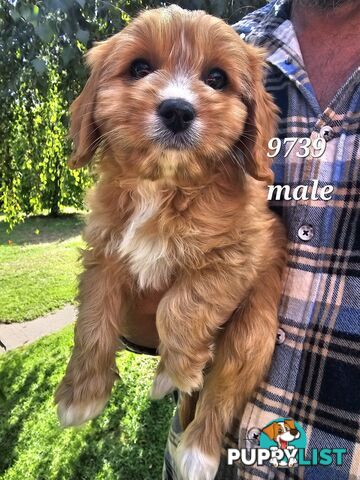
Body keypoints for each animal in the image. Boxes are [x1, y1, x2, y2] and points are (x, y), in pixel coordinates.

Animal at [55, 5, 286, 478]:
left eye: (216, 78)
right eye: (139, 68)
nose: (178, 110)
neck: (163, 184)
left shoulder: (236, 257)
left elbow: (178, 308)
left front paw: (177, 372)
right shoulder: (104, 254)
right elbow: (92, 322)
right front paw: (81, 394)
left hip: (255, 330)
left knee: (223, 388)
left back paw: (198, 449)